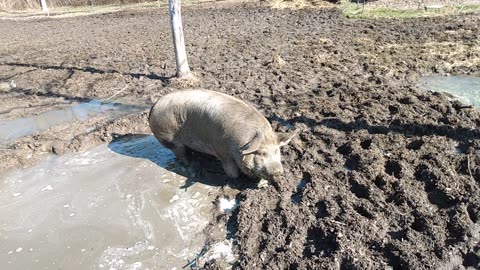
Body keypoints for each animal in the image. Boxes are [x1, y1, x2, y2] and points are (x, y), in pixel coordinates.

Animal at [148, 89, 294, 180]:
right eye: (261, 153)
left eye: (277, 151)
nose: (278, 171)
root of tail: (155, 105)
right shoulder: (222, 151)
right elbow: (231, 170)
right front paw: (235, 178)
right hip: (169, 138)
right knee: (180, 153)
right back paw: (191, 163)